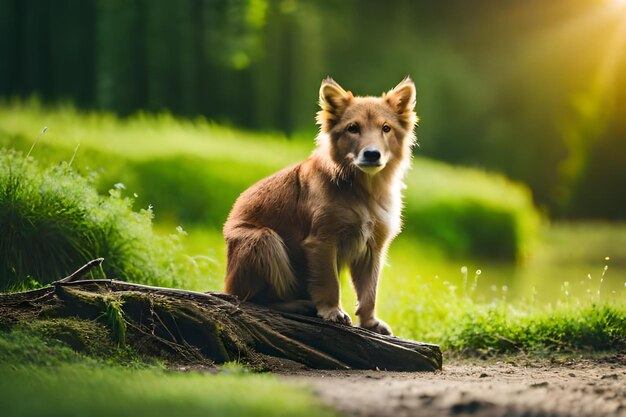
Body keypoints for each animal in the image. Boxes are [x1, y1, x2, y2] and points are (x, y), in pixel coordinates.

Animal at [222, 75, 416, 334]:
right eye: (353, 128)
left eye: (386, 128)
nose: (372, 154)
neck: (362, 189)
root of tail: (227, 286)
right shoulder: (323, 241)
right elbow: (330, 282)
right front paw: (332, 311)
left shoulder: (373, 247)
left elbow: (369, 292)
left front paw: (369, 322)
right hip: (263, 240)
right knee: (256, 299)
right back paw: (297, 305)